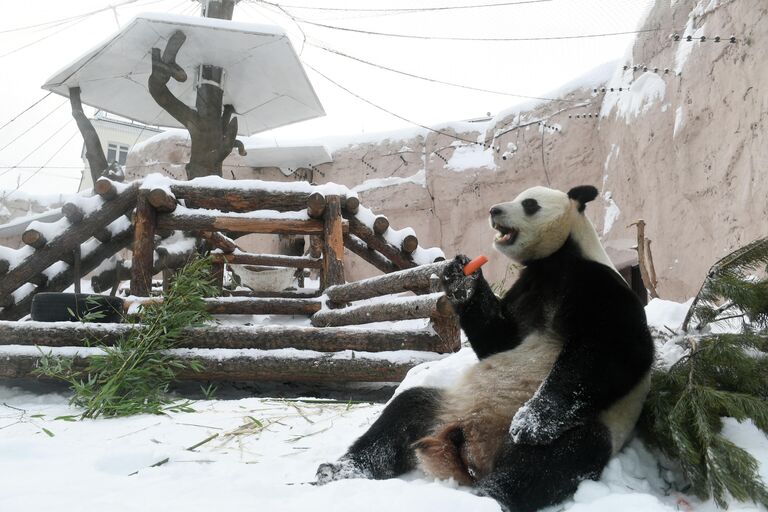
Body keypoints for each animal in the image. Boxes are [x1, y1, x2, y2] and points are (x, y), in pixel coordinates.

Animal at [316, 184, 652, 512]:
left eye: (529, 204)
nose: (494, 210)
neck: (555, 261)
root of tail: (474, 452)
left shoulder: (597, 286)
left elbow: (615, 351)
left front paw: (531, 420)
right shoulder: (528, 289)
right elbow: (499, 339)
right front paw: (463, 280)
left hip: (585, 425)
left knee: (557, 457)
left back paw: (487, 494)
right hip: (446, 407)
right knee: (401, 414)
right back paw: (340, 470)